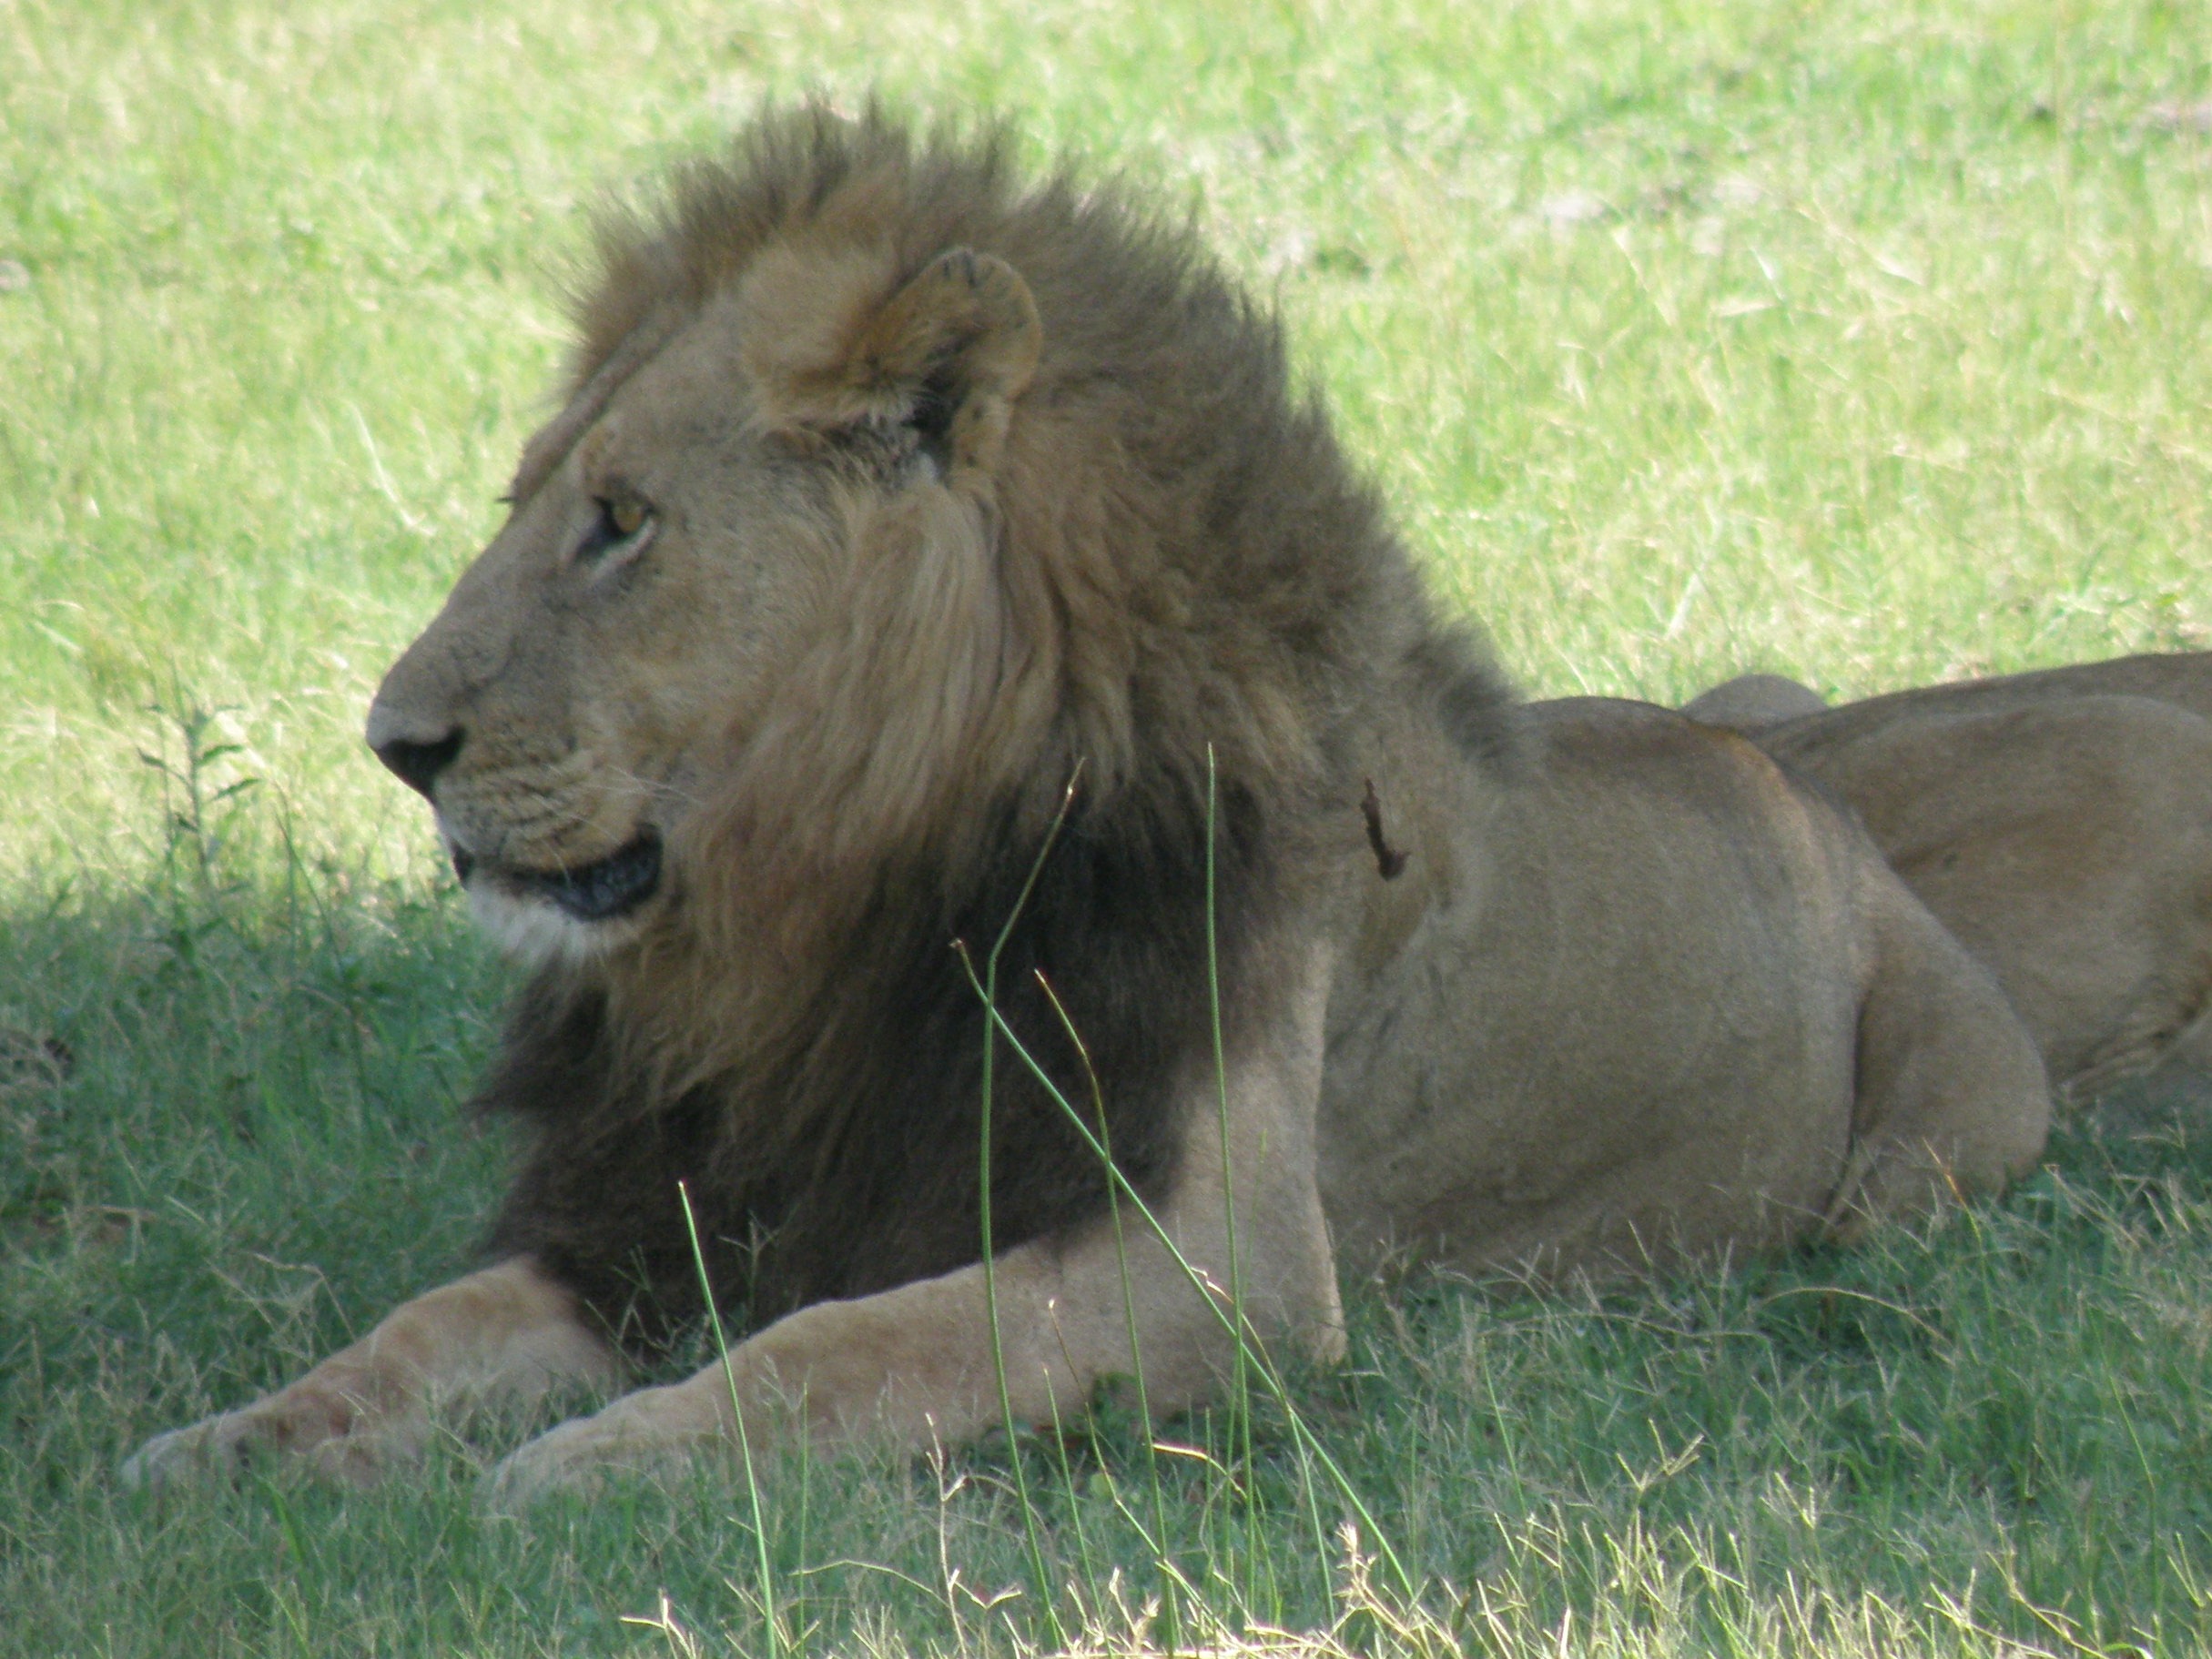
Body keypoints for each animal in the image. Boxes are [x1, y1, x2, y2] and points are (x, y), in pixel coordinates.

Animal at [124, 108, 2049, 1506]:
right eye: (531, 503)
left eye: (622, 522)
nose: (395, 740)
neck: (819, 939)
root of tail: (1796, 783)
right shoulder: (663, 1205)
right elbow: (420, 1323)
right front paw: (227, 1445)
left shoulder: (1217, 1261)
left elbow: (844, 1347)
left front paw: (594, 1461)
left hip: (1933, 1148)